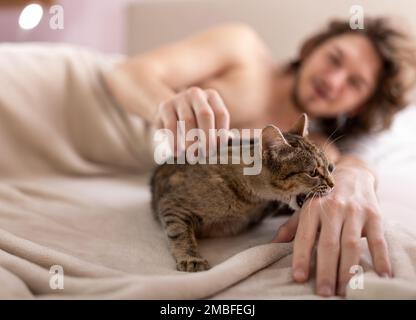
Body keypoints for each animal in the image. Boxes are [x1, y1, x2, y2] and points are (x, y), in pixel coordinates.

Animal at [150, 114, 334, 272]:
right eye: (312, 173)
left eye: (330, 167)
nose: (333, 185)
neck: (252, 200)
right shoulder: (173, 204)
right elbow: (180, 232)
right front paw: (191, 257)